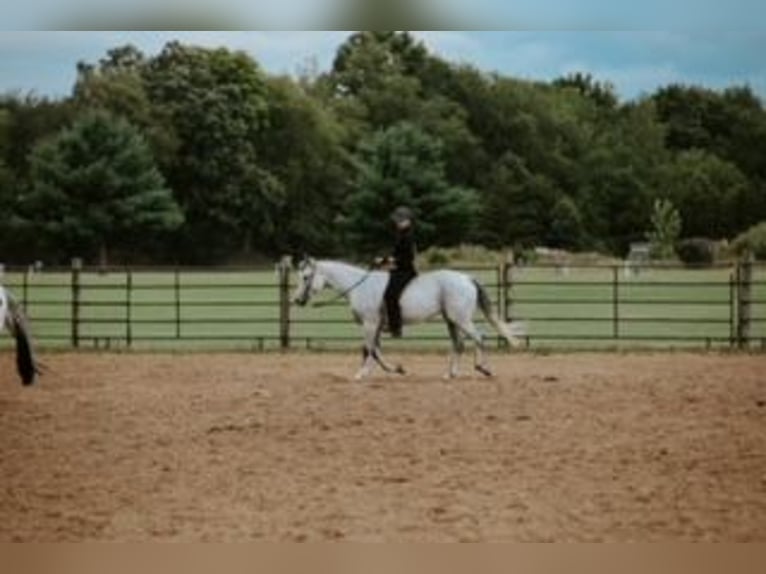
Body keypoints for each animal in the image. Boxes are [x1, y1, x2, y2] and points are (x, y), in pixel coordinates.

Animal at [292, 258, 524, 380]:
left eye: (305, 277)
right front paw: (396, 369)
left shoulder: (369, 324)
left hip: (460, 318)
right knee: (459, 343)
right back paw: (450, 374)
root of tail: (467, 278)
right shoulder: (375, 326)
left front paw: (361, 374)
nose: (297, 300)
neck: (359, 286)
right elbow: (376, 351)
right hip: (451, 320)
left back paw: (484, 368)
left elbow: (367, 349)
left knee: (478, 337)